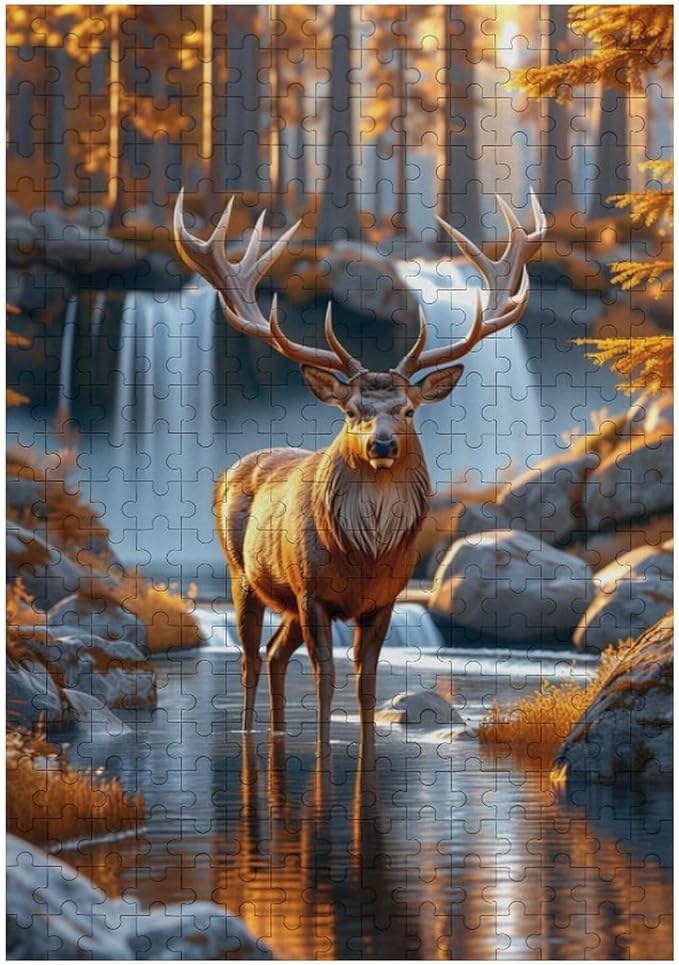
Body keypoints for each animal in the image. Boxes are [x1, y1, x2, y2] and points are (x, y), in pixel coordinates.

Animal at [174, 189, 546, 741]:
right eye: (352, 412)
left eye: (408, 410)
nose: (382, 445)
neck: (365, 551)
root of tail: (228, 472)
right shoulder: (312, 591)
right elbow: (326, 675)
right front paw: (326, 743)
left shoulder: (384, 600)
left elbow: (367, 681)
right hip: (244, 574)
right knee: (250, 657)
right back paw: (250, 731)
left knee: (274, 653)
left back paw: (278, 731)